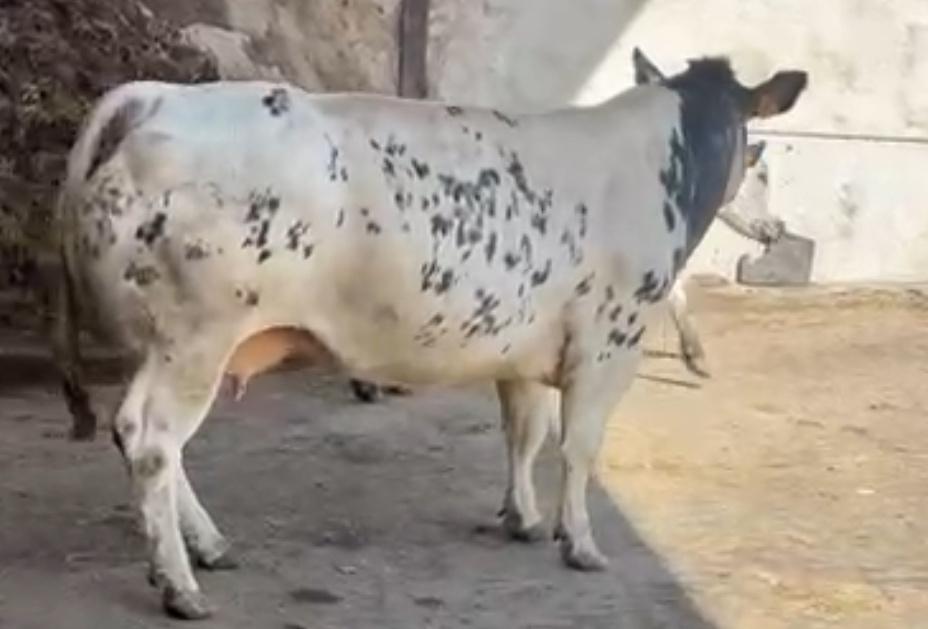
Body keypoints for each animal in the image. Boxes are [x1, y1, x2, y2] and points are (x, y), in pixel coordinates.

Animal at [54, 48, 806, 618]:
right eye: (760, 162)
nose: (774, 228)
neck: (665, 166)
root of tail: (158, 98)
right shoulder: (608, 342)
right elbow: (579, 447)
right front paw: (580, 542)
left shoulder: (522, 347)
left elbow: (524, 433)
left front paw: (521, 516)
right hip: (195, 338)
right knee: (153, 442)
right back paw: (181, 585)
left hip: (165, 345)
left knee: (145, 440)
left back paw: (208, 547)